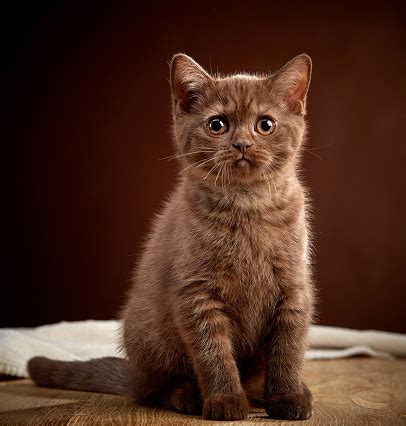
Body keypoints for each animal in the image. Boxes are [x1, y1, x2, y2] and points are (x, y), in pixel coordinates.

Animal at [28, 51, 316, 422]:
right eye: (217, 124)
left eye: (265, 125)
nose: (242, 144)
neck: (246, 205)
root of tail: (132, 372)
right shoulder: (196, 293)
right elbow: (213, 354)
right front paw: (225, 401)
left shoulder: (293, 289)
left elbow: (287, 351)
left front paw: (287, 398)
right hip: (151, 336)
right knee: (153, 388)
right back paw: (188, 395)